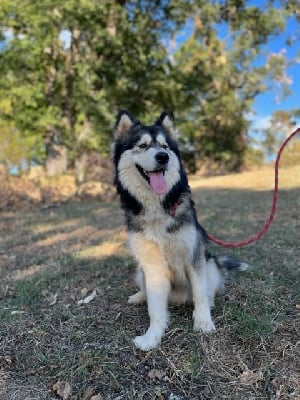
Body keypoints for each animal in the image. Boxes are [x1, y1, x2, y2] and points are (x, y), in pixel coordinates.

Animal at [112, 110, 248, 350]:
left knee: (208, 287)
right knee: (146, 290)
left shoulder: (194, 255)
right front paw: (152, 336)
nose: (162, 157)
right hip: (140, 270)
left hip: (209, 263)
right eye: (142, 145)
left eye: (165, 147)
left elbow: (200, 293)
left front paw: (203, 322)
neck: (158, 207)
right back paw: (139, 296)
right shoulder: (152, 265)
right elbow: (155, 308)